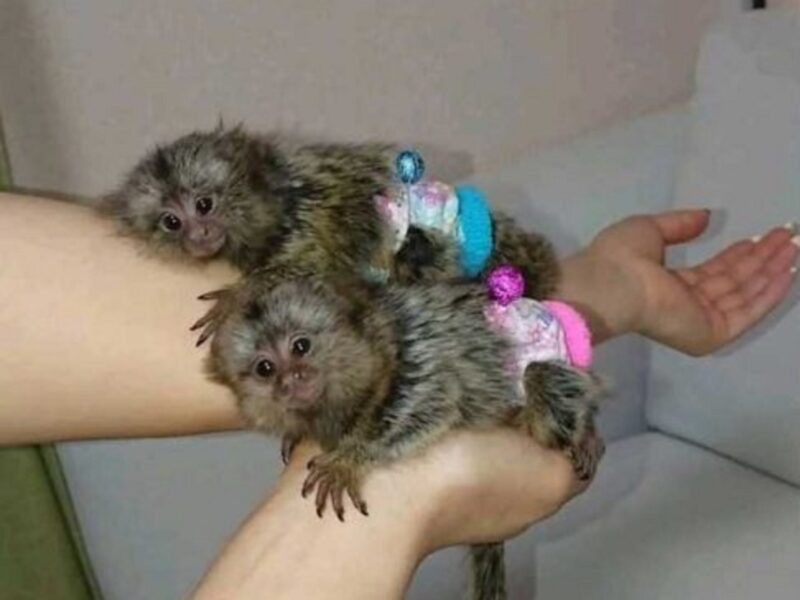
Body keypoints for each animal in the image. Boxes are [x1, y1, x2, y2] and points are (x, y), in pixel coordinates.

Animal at [99, 125, 560, 344]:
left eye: (204, 205)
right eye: (171, 222)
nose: (200, 234)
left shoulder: (315, 215)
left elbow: (315, 265)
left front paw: (240, 293)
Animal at [208, 275, 604, 600]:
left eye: (301, 346)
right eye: (265, 368)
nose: (291, 380)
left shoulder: (416, 356)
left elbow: (432, 403)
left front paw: (350, 459)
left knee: (542, 376)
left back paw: (580, 434)